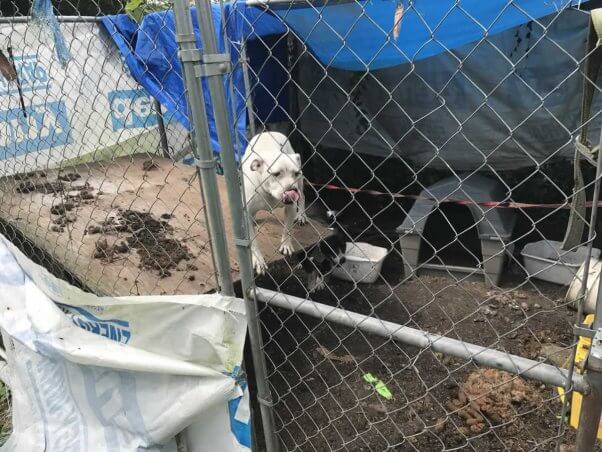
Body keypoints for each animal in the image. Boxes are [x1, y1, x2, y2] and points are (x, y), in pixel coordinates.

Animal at [240, 129, 304, 274]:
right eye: (276, 174)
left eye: (296, 173)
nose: (292, 190)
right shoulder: (246, 213)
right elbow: (253, 240)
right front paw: (258, 259)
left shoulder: (291, 207)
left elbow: (287, 228)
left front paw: (286, 245)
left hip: (301, 184)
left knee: (303, 197)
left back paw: (302, 215)